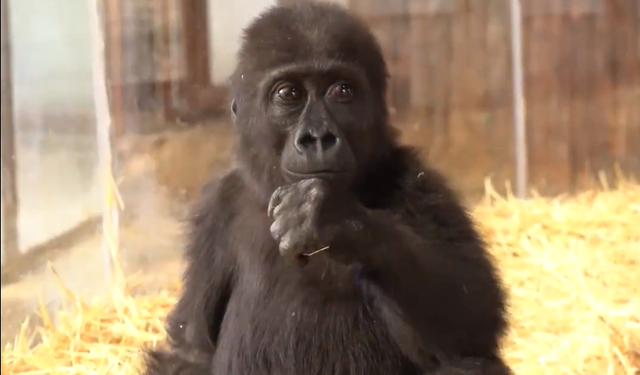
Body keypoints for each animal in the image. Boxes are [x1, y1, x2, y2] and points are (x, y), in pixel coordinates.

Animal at [142, 1, 512, 374]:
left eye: (342, 91)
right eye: (288, 94)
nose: (317, 137)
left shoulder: (417, 182)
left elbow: (474, 315)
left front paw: (332, 218)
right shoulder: (216, 209)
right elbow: (191, 349)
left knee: (468, 362)